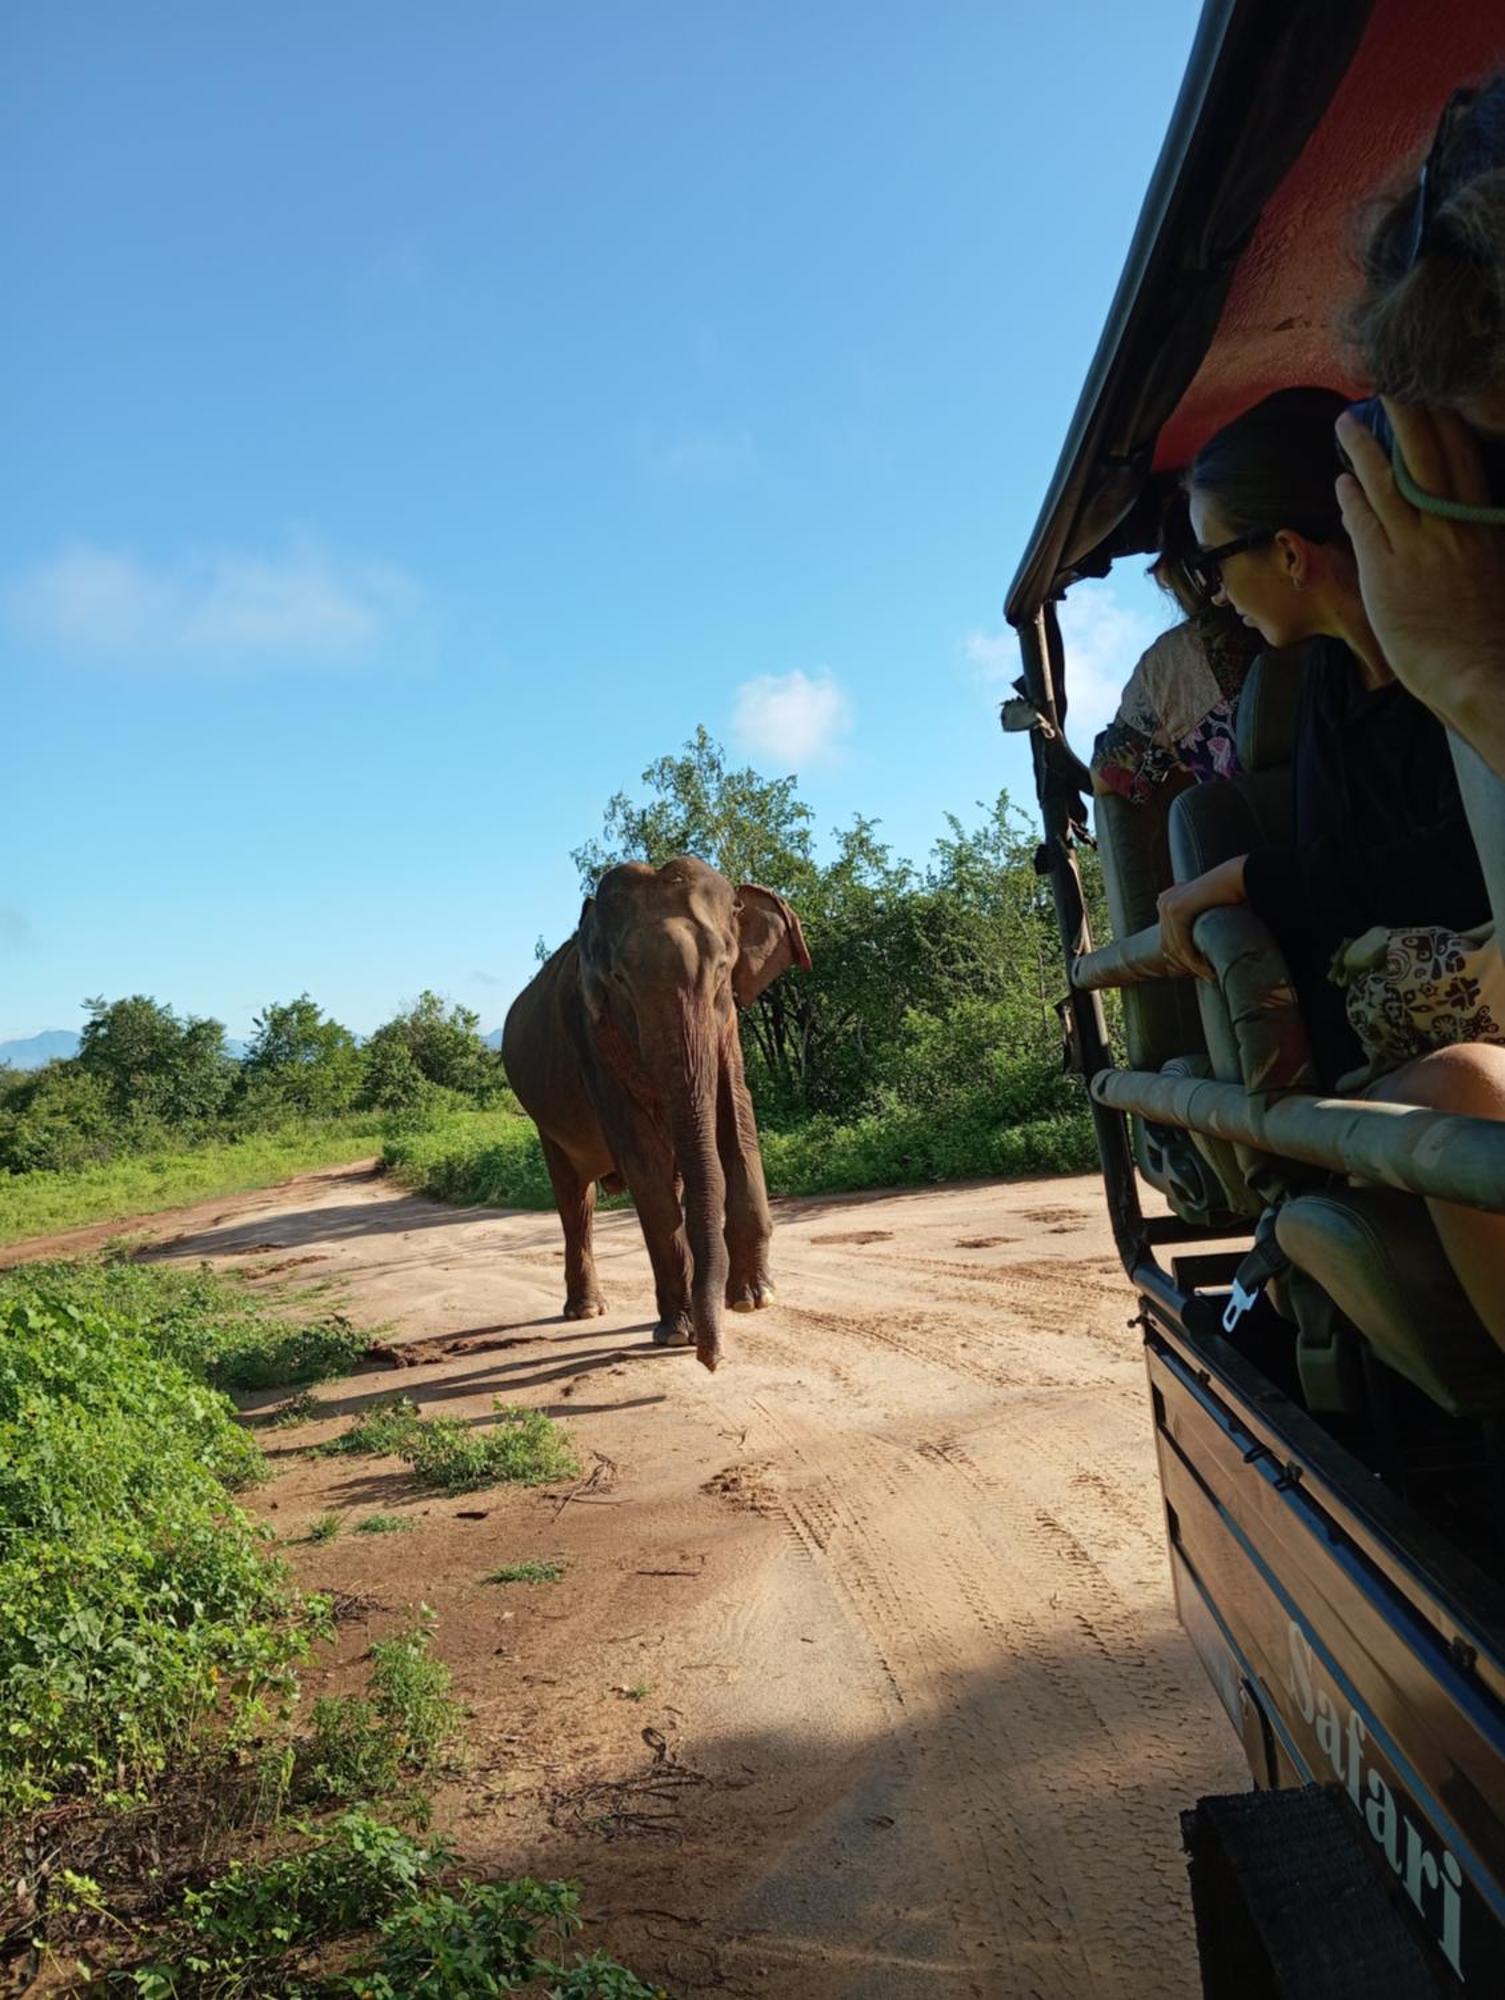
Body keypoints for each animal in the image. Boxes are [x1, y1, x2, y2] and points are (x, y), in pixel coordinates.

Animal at [502, 860, 812, 1376]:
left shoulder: (727, 1027)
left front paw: (754, 1299)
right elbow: (644, 1163)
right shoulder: (592, 1038)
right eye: (619, 979)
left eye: (724, 967)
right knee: (575, 1200)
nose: (712, 1361)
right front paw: (679, 1335)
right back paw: (587, 1310)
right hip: (547, 1123)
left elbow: (738, 1119)